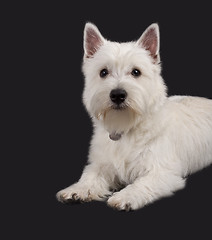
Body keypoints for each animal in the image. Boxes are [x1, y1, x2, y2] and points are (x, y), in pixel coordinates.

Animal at [56, 22, 212, 210]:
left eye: (136, 72)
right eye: (103, 72)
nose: (117, 95)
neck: (126, 127)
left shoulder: (162, 172)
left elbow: (141, 184)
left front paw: (125, 196)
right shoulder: (103, 164)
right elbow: (90, 175)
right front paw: (78, 189)